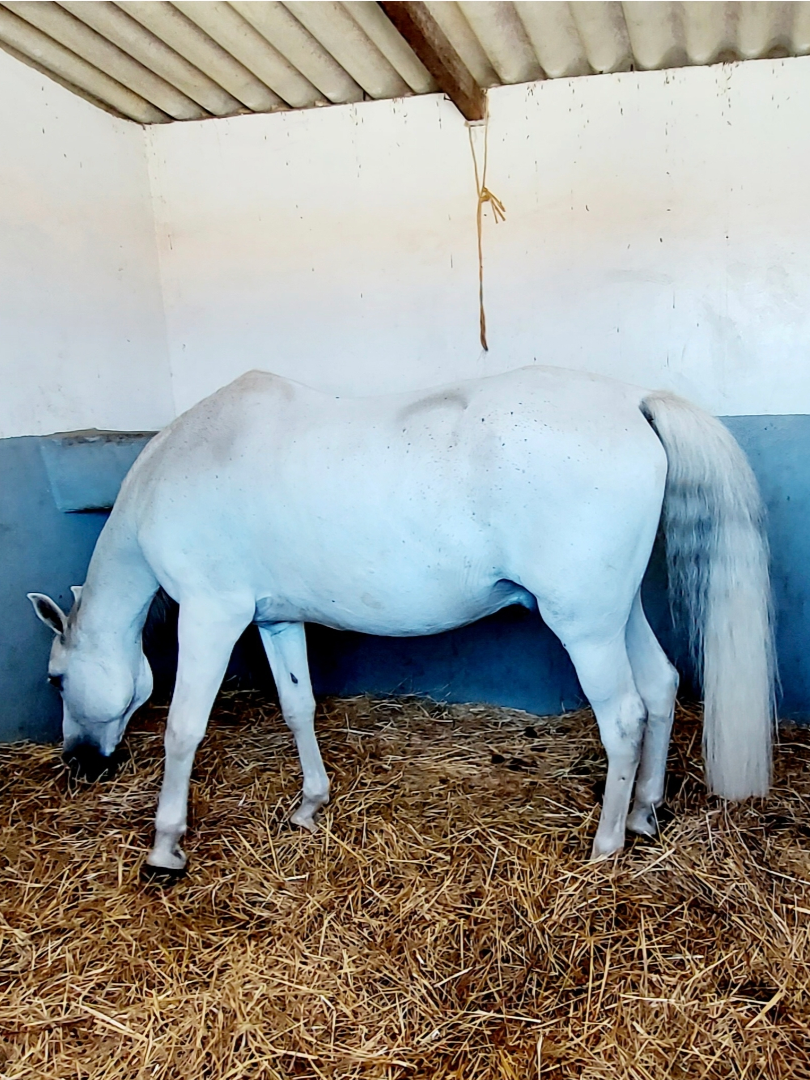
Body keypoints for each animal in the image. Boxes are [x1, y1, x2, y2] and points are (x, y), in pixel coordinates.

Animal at [28, 365, 774, 878]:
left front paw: (165, 848)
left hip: (585, 627)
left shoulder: (212, 616)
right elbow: (297, 707)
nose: (79, 762)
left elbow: (183, 730)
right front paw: (311, 803)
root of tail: (631, 401)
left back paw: (606, 845)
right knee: (660, 688)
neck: (187, 461)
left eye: (57, 679)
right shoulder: (275, 621)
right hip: (612, 615)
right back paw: (645, 813)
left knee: (623, 716)